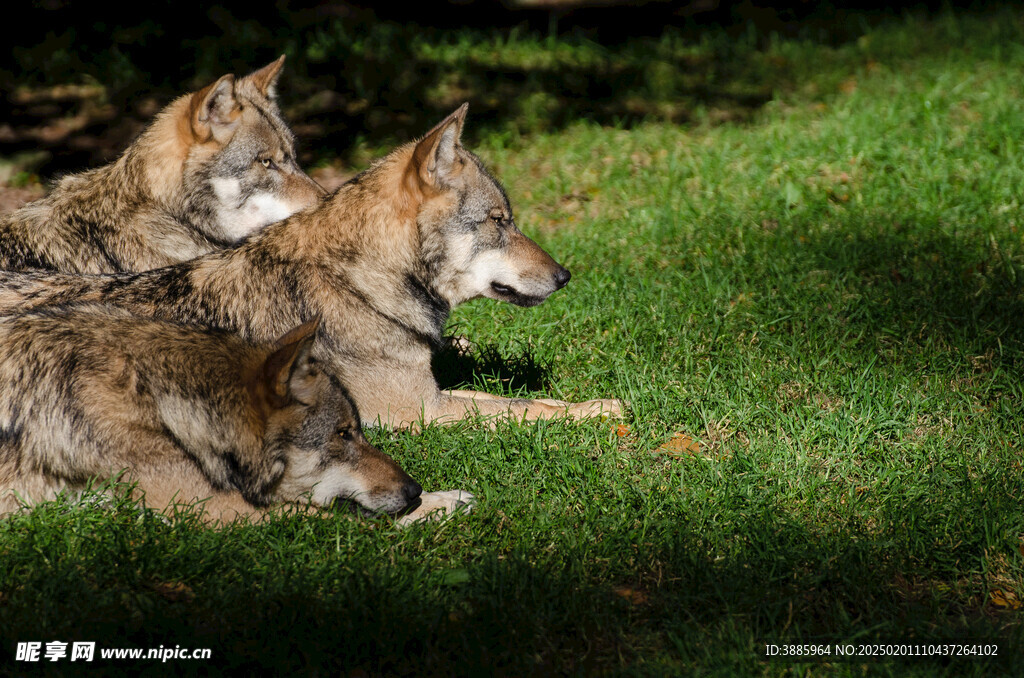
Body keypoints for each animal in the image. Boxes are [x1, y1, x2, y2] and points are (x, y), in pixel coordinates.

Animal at [0, 103, 622, 428]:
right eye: (498, 221)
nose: (566, 276)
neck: (359, 281)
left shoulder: (432, 394)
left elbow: (523, 400)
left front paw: (597, 402)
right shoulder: (418, 413)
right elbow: (523, 410)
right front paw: (605, 412)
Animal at [0, 307, 471, 524]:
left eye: (356, 431)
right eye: (343, 434)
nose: (413, 490)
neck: (155, 401)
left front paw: (439, 498)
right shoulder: (210, 510)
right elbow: (348, 520)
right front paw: (438, 505)